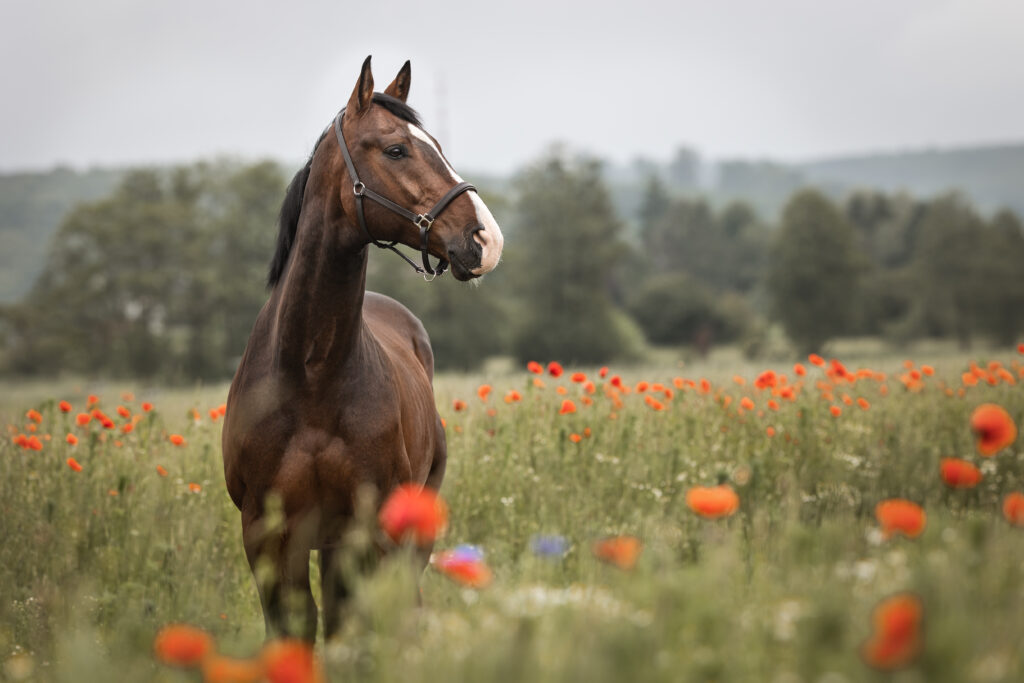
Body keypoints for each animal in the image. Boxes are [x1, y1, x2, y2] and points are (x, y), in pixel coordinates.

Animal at [221, 57, 503, 643]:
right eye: (396, 149)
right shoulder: (265, 536)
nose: (485, 239)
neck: (310, 374)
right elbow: (296, 631)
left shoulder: (368, 531)